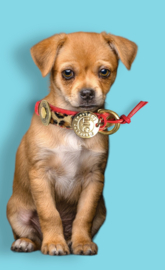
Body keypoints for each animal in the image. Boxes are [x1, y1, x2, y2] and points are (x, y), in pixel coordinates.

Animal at [6, 31, 138, 255]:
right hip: (15, 210)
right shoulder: (41, 175)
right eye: (67, 73)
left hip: (101, 211)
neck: (72, 125)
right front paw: (54, 243)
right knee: (31, 234)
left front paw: (82, 243)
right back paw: (27, 242)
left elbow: (83, 216)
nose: (87, 93)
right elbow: (49, 214)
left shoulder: (94, 179)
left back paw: (68, 240)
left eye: (104, 72)